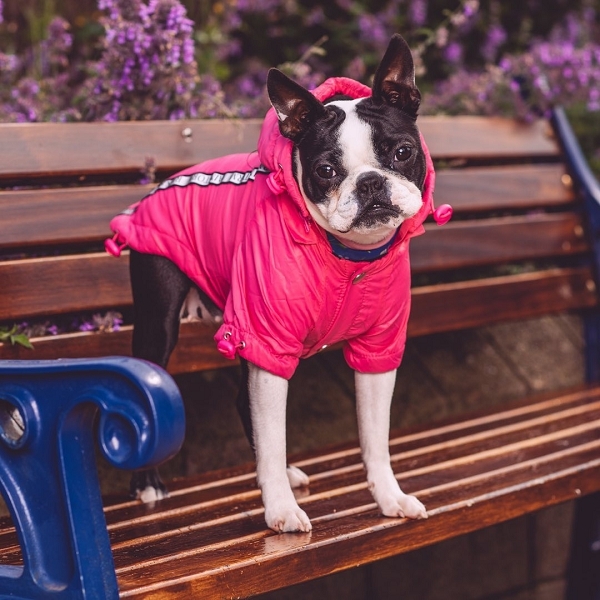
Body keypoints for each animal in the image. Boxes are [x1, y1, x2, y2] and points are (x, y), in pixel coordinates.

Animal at [106, 32, 450, 532]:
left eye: (403, 152)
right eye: (326, 171)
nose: (369, 183)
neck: (347, 257)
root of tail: (157, 189)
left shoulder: (377, 350)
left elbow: (375, 438)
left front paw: (390, 497)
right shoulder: (267, 341)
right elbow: (272, 435)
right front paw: (281, 510)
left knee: (240, 401)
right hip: (162, 322)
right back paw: (148, 484)